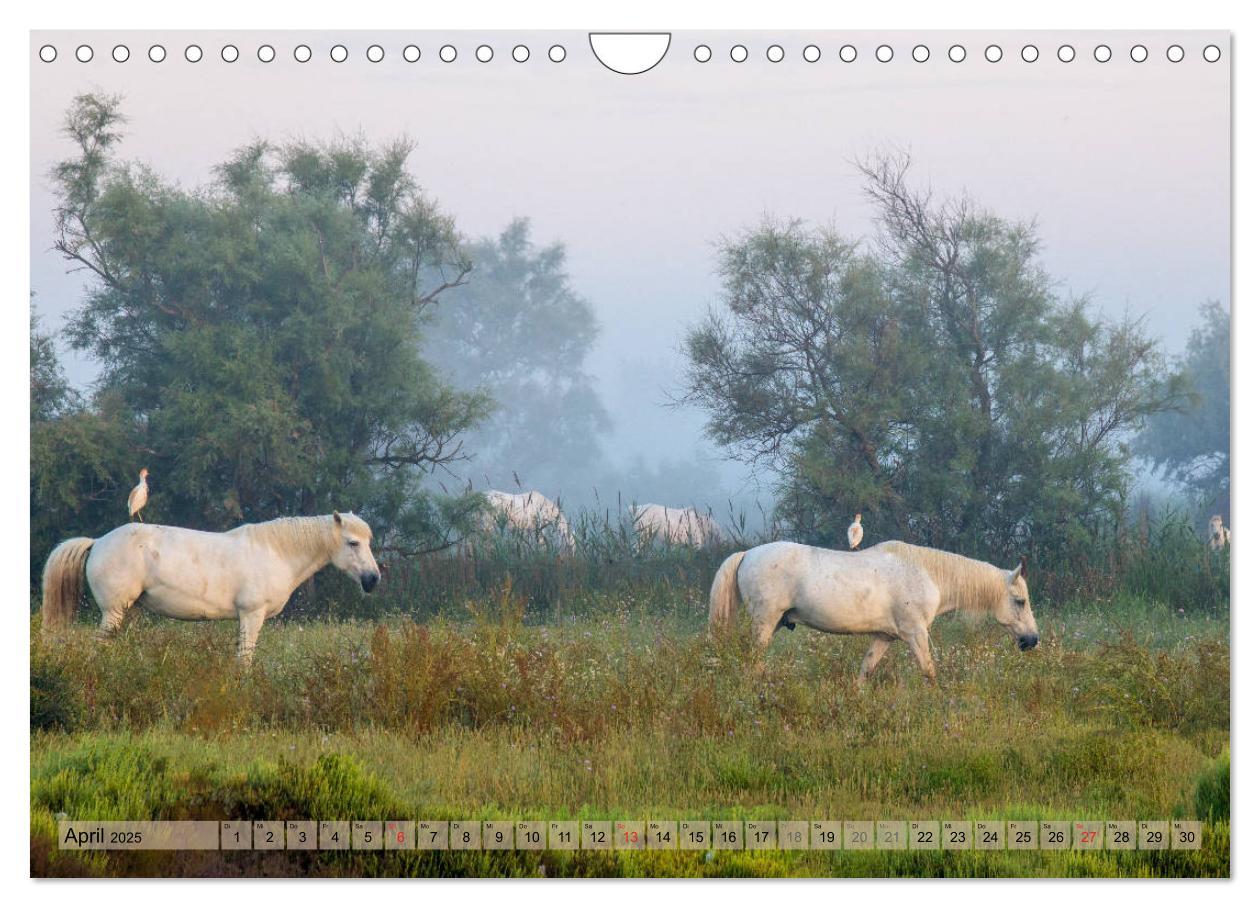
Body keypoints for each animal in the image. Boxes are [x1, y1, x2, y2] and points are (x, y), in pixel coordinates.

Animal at [41, 508, 380, 659]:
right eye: (353, 543)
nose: (372, 580)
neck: (275, 552)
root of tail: (98, 541)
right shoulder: (251, 615)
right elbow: (245, 658)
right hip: (113, 612)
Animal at [715, 539, 1038, 680]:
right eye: (1020, 601)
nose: (1032, 640)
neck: (927, 574)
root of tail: (747, 553)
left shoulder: (885, 637)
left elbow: (866, 669)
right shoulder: (915, 634)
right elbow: (929, 672)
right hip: (765, 623)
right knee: (752, 661)